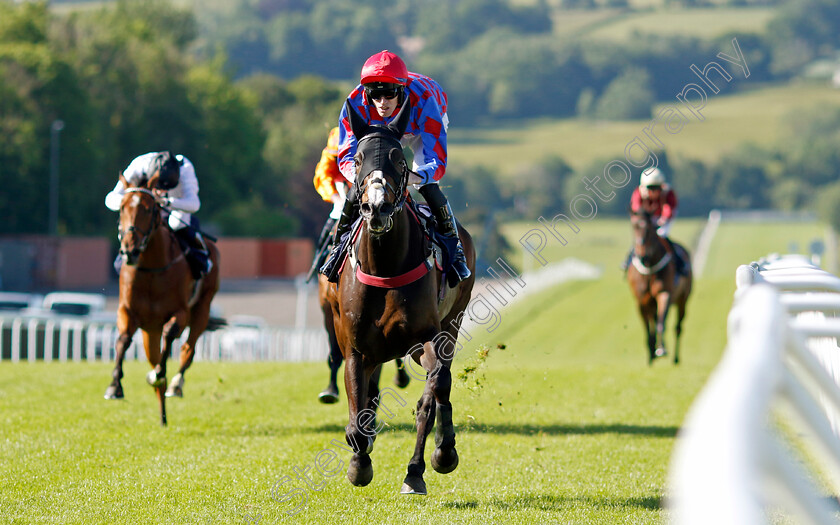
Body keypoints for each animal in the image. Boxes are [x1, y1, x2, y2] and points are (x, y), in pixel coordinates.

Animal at [104, 172, 221, 426]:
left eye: (149, 209)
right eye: (122, 207)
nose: (129, 250)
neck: (151, 268)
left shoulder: (180, 312)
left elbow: (170, 338)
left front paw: (158, 374)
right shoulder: (127, 311)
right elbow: (123, 340)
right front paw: (115, 386)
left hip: (202, 307)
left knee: (188, 349)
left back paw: (174, 385)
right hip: (150, 331)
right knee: (155, 355)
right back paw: (162, 414)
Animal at [324, 100, 476, 494]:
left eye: (397, 156)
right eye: (358, 158)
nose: (376, 206)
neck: (385, 266)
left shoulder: (424, 337)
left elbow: (432, 394)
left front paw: (422, 466)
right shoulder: (356, 347)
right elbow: (357, 415)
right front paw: (359, 464)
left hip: (452, 322)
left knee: (440, 386)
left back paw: (434, 457)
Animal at [628, 210, 692, 364]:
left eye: (650, 230)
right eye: (634, 227)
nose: (642, 256)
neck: (649, 268)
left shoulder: (664, 294)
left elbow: (661, 323)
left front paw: (661, 349)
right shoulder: (641, 300)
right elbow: (647, 327)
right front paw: (651, 353)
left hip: (683, 300)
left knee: (678, 327)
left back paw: (675, 358)